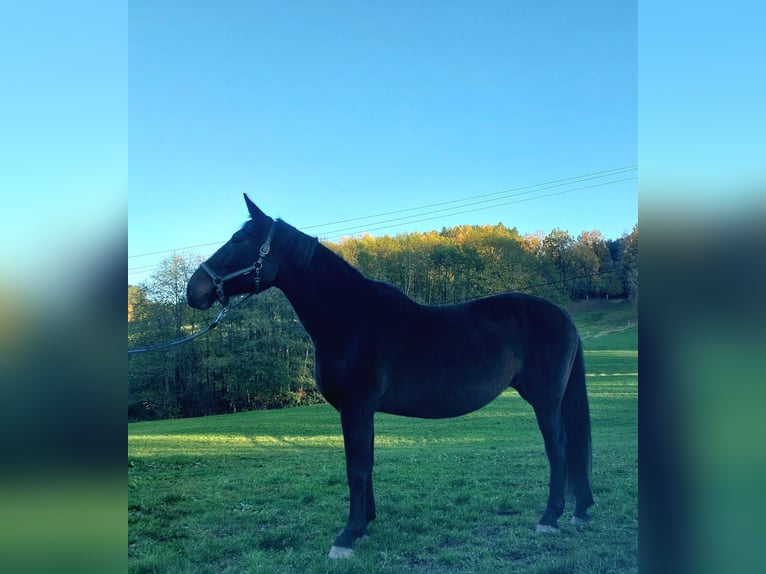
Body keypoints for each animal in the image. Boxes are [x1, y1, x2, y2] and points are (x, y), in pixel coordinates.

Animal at [186, 196, 592, 560]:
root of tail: (563, 316)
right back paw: (580, 511)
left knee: (558, 448)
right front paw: (364, 526)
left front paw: (346, 537)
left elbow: (356, 468)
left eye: (239, 239)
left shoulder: (355, 409)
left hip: (545, 401)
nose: (194, 290)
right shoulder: (363, 412)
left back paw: (549, 518)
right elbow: (366, 463)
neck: (351, 318)